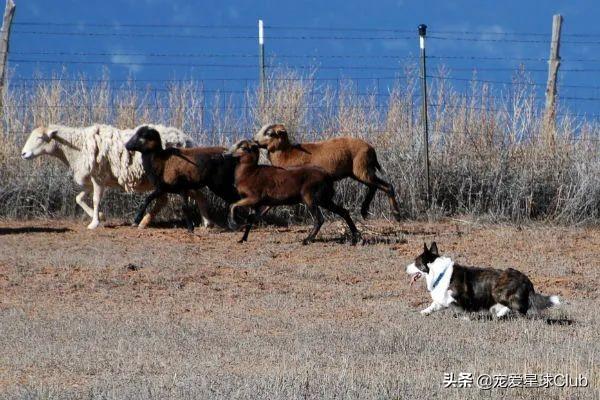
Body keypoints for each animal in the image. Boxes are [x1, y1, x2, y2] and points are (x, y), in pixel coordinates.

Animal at [21, 123, 193, 228]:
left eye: (40, 138)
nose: (23, 154)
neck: (77, 146)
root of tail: (186, 139)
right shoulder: (91, 179)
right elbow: (79, 198)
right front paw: (101, 216)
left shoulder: (98, 177)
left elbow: (95, 200)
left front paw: (94, 223)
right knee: (163, 200)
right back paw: (144, 222)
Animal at [230, 141, 360, 247]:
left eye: (243, 147)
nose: (230, 154)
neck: (249, 172)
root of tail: (328, 177)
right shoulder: (260, 204)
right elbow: (250, 219)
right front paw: (242, 239)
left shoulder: (255, 198)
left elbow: (233, 205)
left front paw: (233, 223)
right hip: (324, 199)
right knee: (343, 211)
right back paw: (356, 237)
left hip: (310, 197)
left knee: (319, 219)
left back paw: (307, 240)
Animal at [254, 122, 404, 222]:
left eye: (270, 133)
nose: (254, 141)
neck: (286, 153)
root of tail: (371, 149)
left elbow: (271, 203)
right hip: (359, 172)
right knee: (374, 186)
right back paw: (364, 211)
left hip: (362, 170)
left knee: (386, 186)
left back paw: (396, 215)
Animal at [406, 242, 560, 318]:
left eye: (416, 262)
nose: (405, 268)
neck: (439, 273)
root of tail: (526, 280)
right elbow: (434, 305)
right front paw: (424, 312)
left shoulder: (459, 297)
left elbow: (451, 302)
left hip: (498, 292)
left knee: (518, 307)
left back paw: (499, 312)